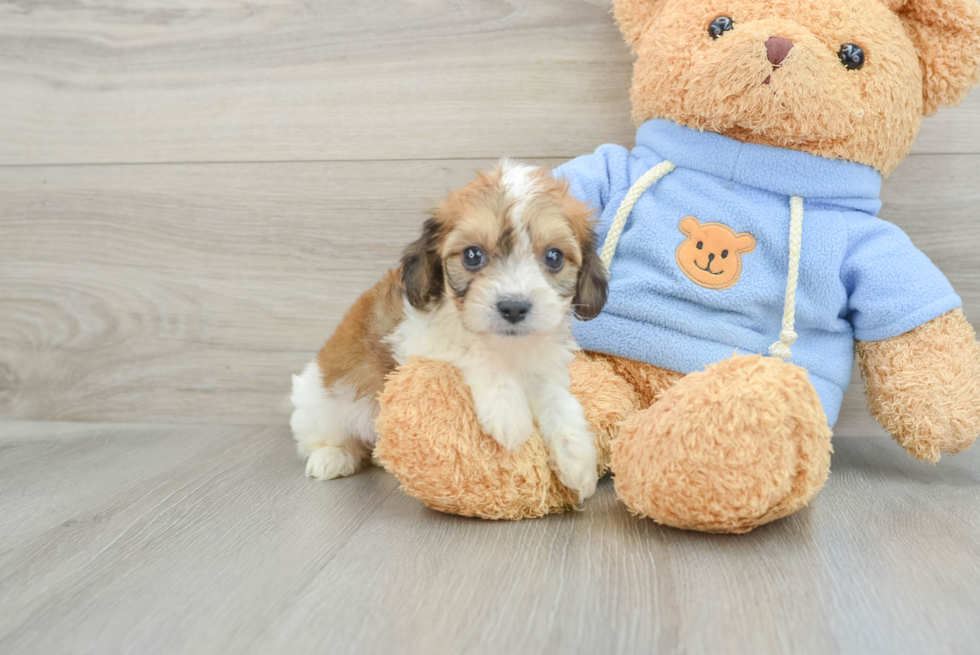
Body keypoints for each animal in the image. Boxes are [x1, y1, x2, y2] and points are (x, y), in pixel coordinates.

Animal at [290, 161, 608, 500]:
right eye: (472, 255)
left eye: (554, 257)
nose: (513, 308)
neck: (505, 345)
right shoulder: (417, 340)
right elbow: (475, 352)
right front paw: (508, 413)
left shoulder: (542, 363)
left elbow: (557, 398)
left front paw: (576, 455)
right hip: (321, 403)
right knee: (321, 435)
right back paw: (332, 456)